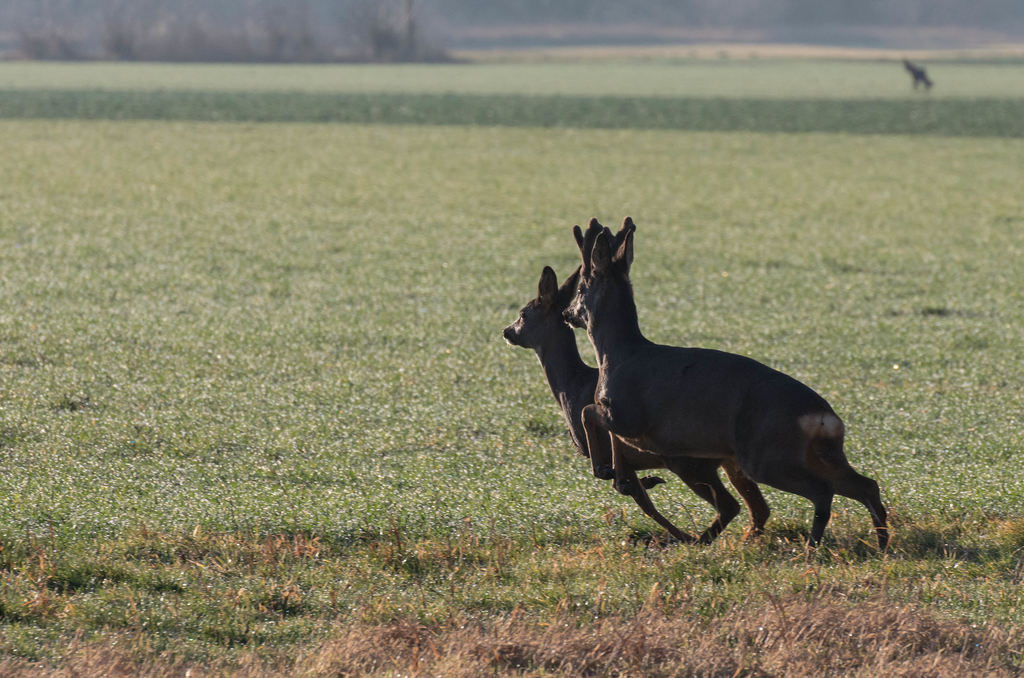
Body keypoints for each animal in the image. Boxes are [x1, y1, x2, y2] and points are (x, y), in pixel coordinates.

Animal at [499, 262, 770, 544]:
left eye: (523, 313)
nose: (506, 331)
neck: (571, 388)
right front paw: (650, 484)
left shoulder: (614, 450)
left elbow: (643, 502)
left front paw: (675, 531)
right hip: (726, 461)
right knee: (758, 507)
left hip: (689, 462)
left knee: (730, 505)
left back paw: (698, 539)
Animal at [565, 220, 892, 548]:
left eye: (580, 288)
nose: (568, 314)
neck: (617, 353)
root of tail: (824, 416)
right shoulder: (623, 421)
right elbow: (604, 427)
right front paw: (621, 478)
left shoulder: (629, 417)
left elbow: (587, 411)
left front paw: (605, 470)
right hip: (819, 453)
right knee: (867, 485)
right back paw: (880, 544)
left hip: (767, 456)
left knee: (823, 491)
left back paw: (811, 547)